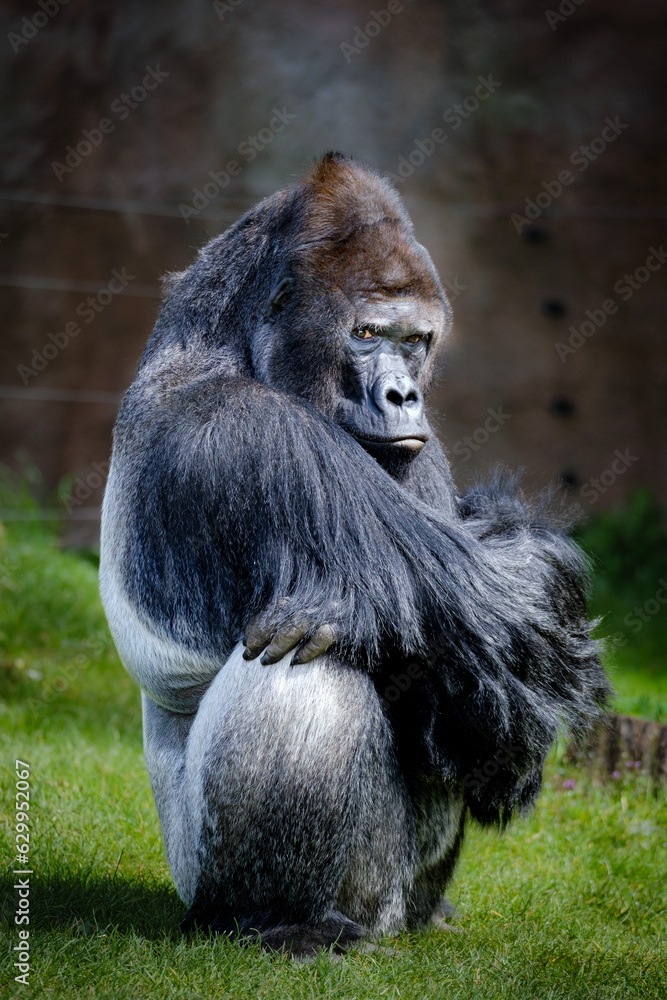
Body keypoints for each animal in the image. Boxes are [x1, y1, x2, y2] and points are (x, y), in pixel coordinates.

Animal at [100, 152, 612, 956]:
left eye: (417, 342)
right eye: (367, 332)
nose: (403, 395)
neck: (219, 338)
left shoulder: (419, 449)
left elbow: (502, 640)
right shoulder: (245, 433)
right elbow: (498, 619)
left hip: (405, 897)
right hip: (208, 879)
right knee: (304, 673)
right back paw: (280, 920)